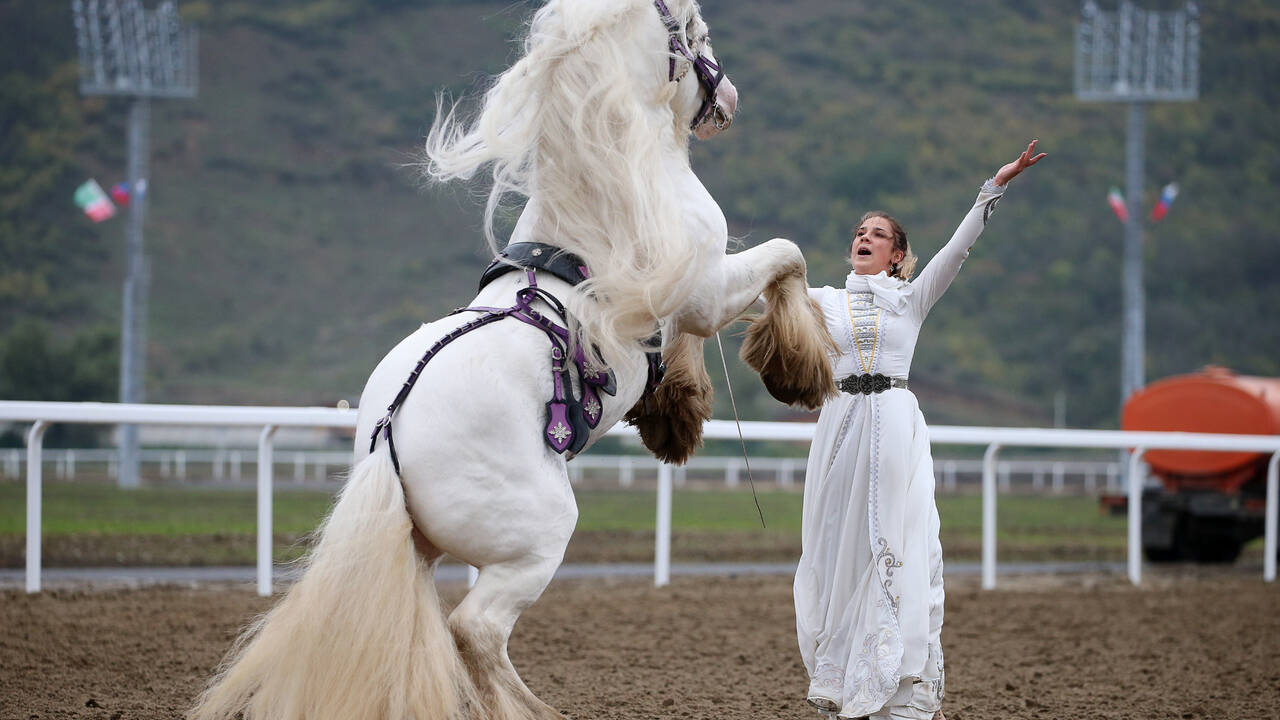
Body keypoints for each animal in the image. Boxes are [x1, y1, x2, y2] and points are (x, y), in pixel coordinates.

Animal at [186, 1, 829, 717]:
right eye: (700, 35)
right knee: (475, 628)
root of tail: (391, 433)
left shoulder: (683, 292)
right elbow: (788, 256)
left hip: (422, 549)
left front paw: (678, 414)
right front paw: (797, 371)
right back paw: (537, 710)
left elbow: (689, 339)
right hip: (537, 539)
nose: (732, 98)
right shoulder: (704, 285)